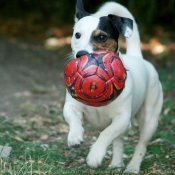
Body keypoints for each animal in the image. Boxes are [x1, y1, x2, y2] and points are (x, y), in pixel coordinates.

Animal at [62, 0, 163, 172]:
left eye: (102, 37)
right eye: (77, 35)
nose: (81, 55)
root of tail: (138, 56)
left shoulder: (122, 120)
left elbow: (106, 134)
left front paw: (95, 155)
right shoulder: (70, 106)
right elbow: (74, 118)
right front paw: (75, 136)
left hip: (150, 120)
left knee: (141, 145)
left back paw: (133, 167)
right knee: (118, 142)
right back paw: (116, 164)